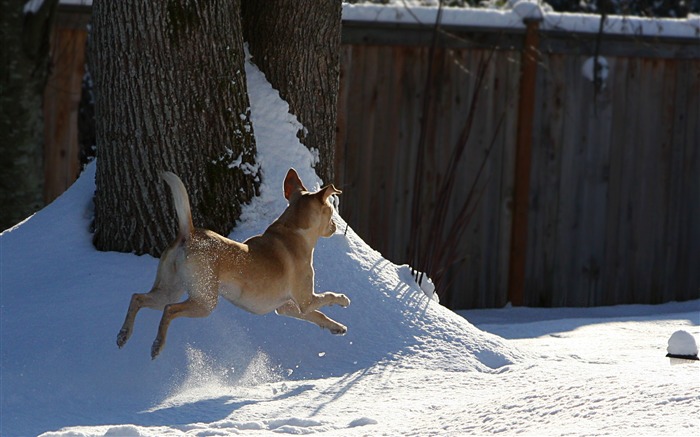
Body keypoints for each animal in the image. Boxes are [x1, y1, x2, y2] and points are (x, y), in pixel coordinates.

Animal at [118, 168, 356, 358]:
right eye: (331, 210)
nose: (335, 226)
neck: (293, 230)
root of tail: (189, 233)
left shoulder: (288, 307)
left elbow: (318, 315)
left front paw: (337, 327)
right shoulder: (305, 300)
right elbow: (327, 297)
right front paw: (343, 300)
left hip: (169, 289)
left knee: (137, 298)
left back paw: (123, 334)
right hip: (204, 302)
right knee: (169, 310)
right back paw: (157, 345)